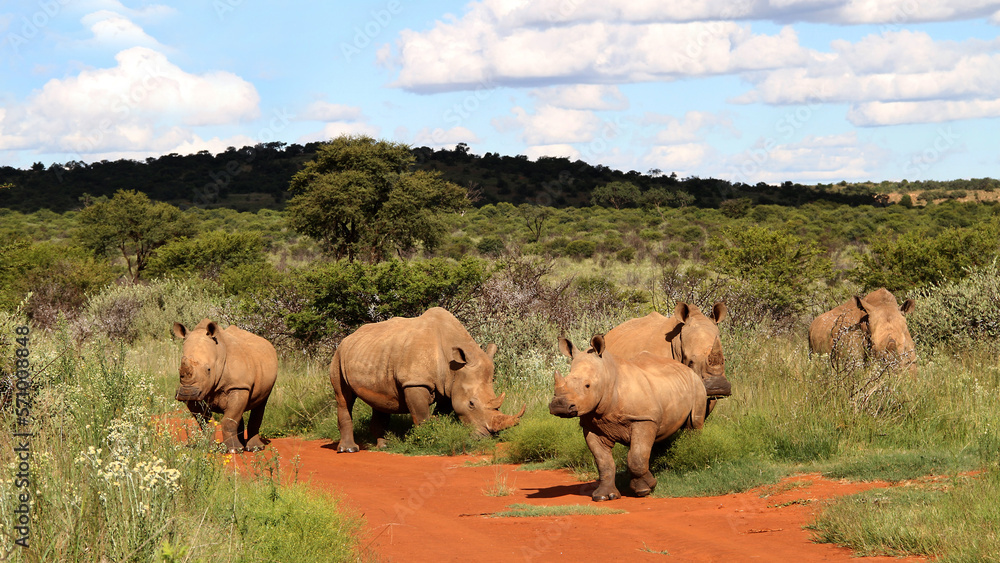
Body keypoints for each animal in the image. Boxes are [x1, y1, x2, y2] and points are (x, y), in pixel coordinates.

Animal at [172, 319, 278, 453]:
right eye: (179, 370)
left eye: (209, 370)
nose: (187, 393)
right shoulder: (198, 391)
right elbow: (206, 421)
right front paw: (210, 448)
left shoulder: (238, 386)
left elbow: (228, 420)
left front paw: (233, 450)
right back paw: (242, 445)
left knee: (260, 404)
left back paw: (254, 448)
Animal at [330, 307, 523, 452]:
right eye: (471, 404)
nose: (488, 436)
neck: (455, 367)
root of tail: (348, 336)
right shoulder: (414, 382)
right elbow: (421, 414)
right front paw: (427, 439)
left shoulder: (449, 385)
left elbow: (442, 411)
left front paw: (438, 427)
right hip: (338, 356)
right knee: (343, 398)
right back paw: (349, 449)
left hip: (374, 354)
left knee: (380, 399)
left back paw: (385, 446)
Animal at [549, 335, 707, 501]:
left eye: (587, 385)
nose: (560, 405)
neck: (607, 375)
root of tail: (685, 368)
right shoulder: (591, 426)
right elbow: (604, 462)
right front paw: (604, 496)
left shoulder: (642, 418)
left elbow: (636, 457)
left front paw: (645, 488)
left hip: (697, 384)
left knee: (694, 425)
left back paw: (691, 454)